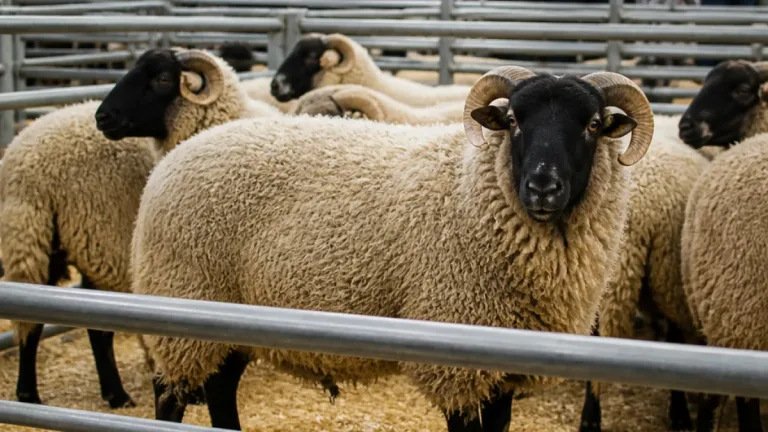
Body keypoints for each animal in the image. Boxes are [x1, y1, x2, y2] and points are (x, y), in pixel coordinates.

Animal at [0, 47, 256, 409]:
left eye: (162, 79)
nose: (102, 117)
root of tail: (27, 163)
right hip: (96, 236)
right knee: (86, 325)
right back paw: (104, 394)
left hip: (33, 235)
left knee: (34, 317)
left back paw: (38, 395)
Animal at [130, 65, 654, 431]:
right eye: (512, 121)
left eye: (592, 124)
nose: (542, 187)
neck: (472, 191)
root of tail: (174, 160)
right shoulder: (459, 365)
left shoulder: (501, 371)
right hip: (183, 301)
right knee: (170, 396)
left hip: (227, 318)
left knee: (220, 391)